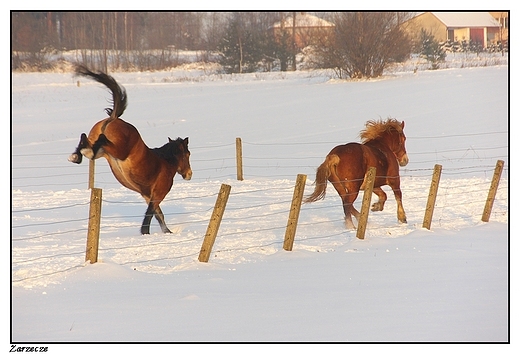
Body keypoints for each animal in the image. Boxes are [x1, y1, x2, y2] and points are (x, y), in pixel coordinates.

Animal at [68, 64, 192, 235]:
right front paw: (147, 233)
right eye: (188, 154)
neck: (166, 163)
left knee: (87, 142)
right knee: (99, 142)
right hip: (118, 151)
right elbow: (151, 214)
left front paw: (166, 232)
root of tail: (113, 118)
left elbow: (158, 214)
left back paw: (76, 156)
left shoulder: (147, 195)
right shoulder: (158, 194)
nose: (189, 174)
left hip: (104, 152)